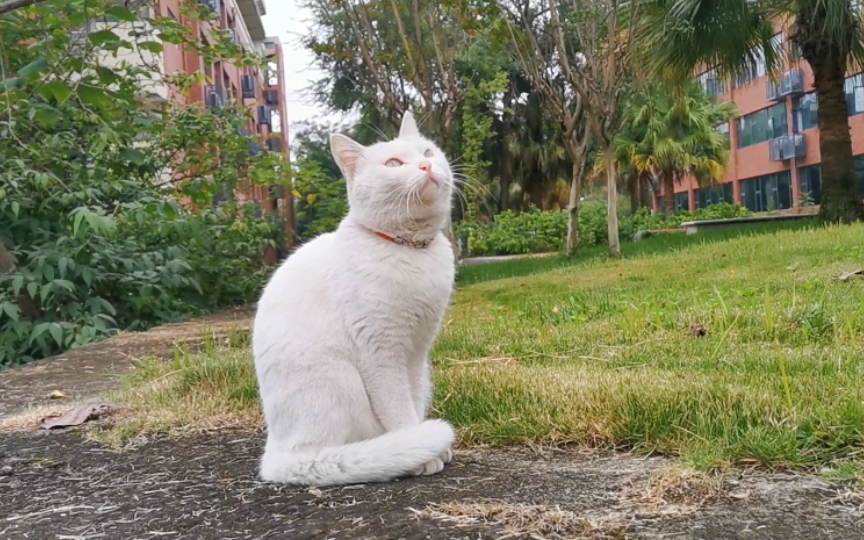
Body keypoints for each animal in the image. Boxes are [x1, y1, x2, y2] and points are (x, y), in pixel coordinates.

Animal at [253, 113, 460, 486]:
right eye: (393, 164)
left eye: (427, 152)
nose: (426, 165)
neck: (411, 251)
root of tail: (274, 455)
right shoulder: (382, 354)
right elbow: (399, 410)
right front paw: (421, 452)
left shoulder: (416, 353)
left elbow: (413, 400)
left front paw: (425, 447)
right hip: (338, 379)